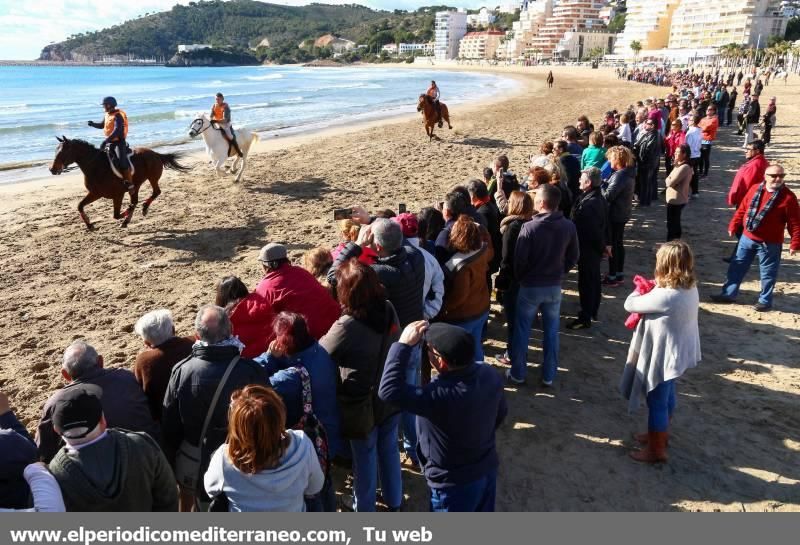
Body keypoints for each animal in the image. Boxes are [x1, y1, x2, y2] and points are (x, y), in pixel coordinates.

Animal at [48, 138, 191, 230]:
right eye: (55, 151)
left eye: (62, 152)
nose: (52, 169)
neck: (96, 167)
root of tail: (155, 153)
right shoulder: (95, 193)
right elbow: (80, 206)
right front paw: (89, 225)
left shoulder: (118, 195)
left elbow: (116, 215)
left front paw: (126, 212)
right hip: (137, 185)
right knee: (136, 199)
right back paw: (131, 216)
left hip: (152, 178)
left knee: (155, 192)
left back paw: (142, 209)